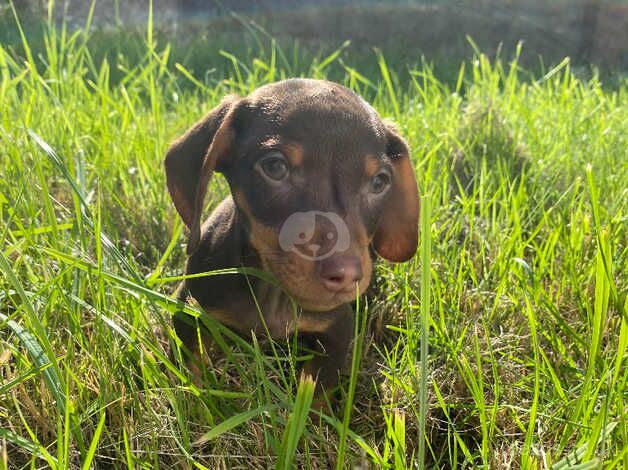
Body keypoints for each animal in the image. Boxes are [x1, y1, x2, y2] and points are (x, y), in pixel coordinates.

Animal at [164, 79, 420, 402]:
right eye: (275, 167)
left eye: (379, 182)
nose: (346, 275)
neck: (273, 293)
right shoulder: (189, 309)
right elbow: (190, 376)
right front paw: (196, 400)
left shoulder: (337, 331)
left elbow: (315, 392)